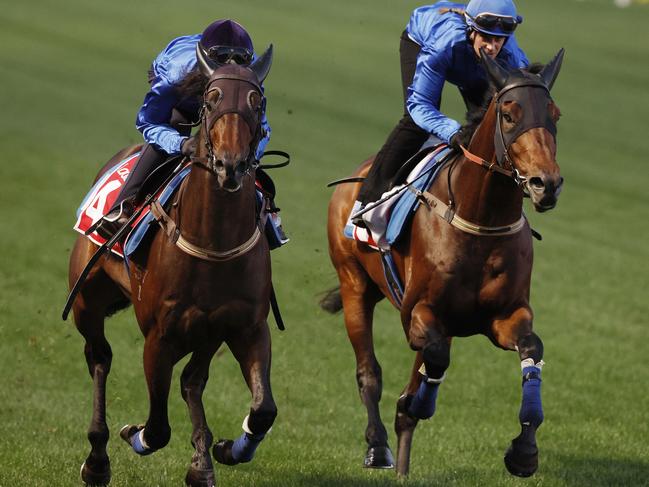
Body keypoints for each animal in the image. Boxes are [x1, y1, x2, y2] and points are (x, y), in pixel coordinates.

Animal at [67, 45, 276, 487]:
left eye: (258, 101)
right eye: (211, 99)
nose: (230, 165)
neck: (213, 242)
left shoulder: (245, 326)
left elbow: (263, 410)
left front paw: (226, 449)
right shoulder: (159, 337)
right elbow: (158, 428)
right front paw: (134, 434)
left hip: (208, 333)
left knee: (192, 382)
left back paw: (203, 461)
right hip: (87, 301)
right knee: (100, 357)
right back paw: (97, 459)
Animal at [322, 50, 560, 480]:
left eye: (555, 114)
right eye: (509, 114)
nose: (545, 184)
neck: (481, 221)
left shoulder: (504, 316)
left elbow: (531, 347)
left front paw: (524, 451)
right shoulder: (419, 313)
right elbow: (432, 359)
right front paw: (415, 404)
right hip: (354, 286)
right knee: (369, 373)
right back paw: (379, 448)